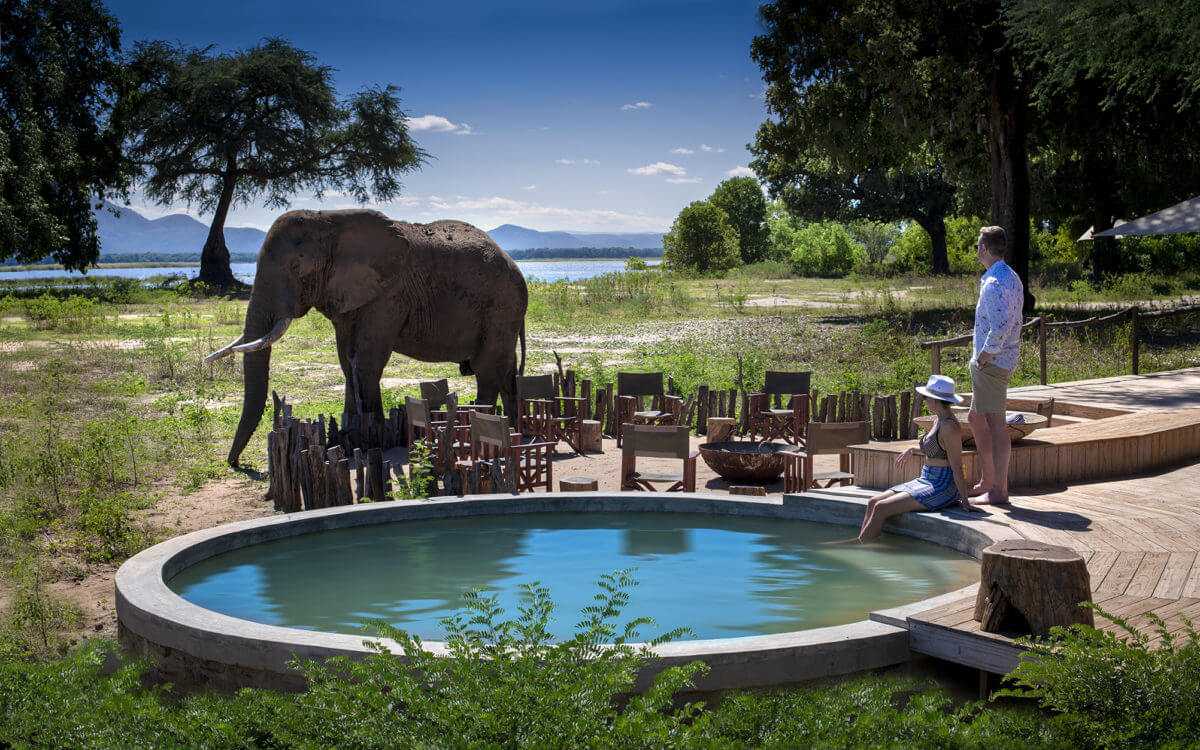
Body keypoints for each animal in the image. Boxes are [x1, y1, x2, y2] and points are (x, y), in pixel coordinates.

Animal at [205, 207, 525, 465]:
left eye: (297, 268)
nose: (235, 464)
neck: (330, 220)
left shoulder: (389, 295)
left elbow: (367, 362)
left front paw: (372, 440)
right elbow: (348, 362)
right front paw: (348, 437)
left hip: (501, 307)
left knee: (487, 370)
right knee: (506, 371)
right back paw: (513, 428)